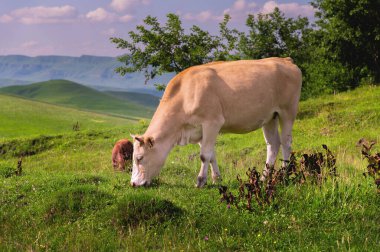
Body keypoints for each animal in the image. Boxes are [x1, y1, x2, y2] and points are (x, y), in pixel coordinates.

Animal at [129, 57, 302, 187]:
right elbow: (211, 155)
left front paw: (200, 181)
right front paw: (216, 178)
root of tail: (285, 60)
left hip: (287, 111)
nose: (133, 183)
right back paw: (264, 178)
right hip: (269, 117)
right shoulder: (198, 130)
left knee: (286, 142)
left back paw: (284, 176)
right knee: (273, 144)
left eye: (139, 158)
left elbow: (204, 155)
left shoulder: (212, 122)